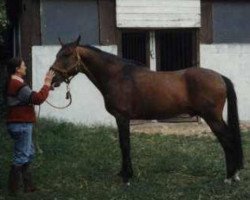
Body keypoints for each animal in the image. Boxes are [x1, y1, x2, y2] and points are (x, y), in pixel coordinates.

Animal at [49, 35, 243, 184]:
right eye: (57, 54)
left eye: (66, 55)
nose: (52, 79)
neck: (118, 76)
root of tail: (219, 77)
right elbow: (123, 145)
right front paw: (124, 173)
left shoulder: (122, 117)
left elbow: (125, 145)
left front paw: (127, 177)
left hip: (213, 118)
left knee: (228, 140)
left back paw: (230, 177)